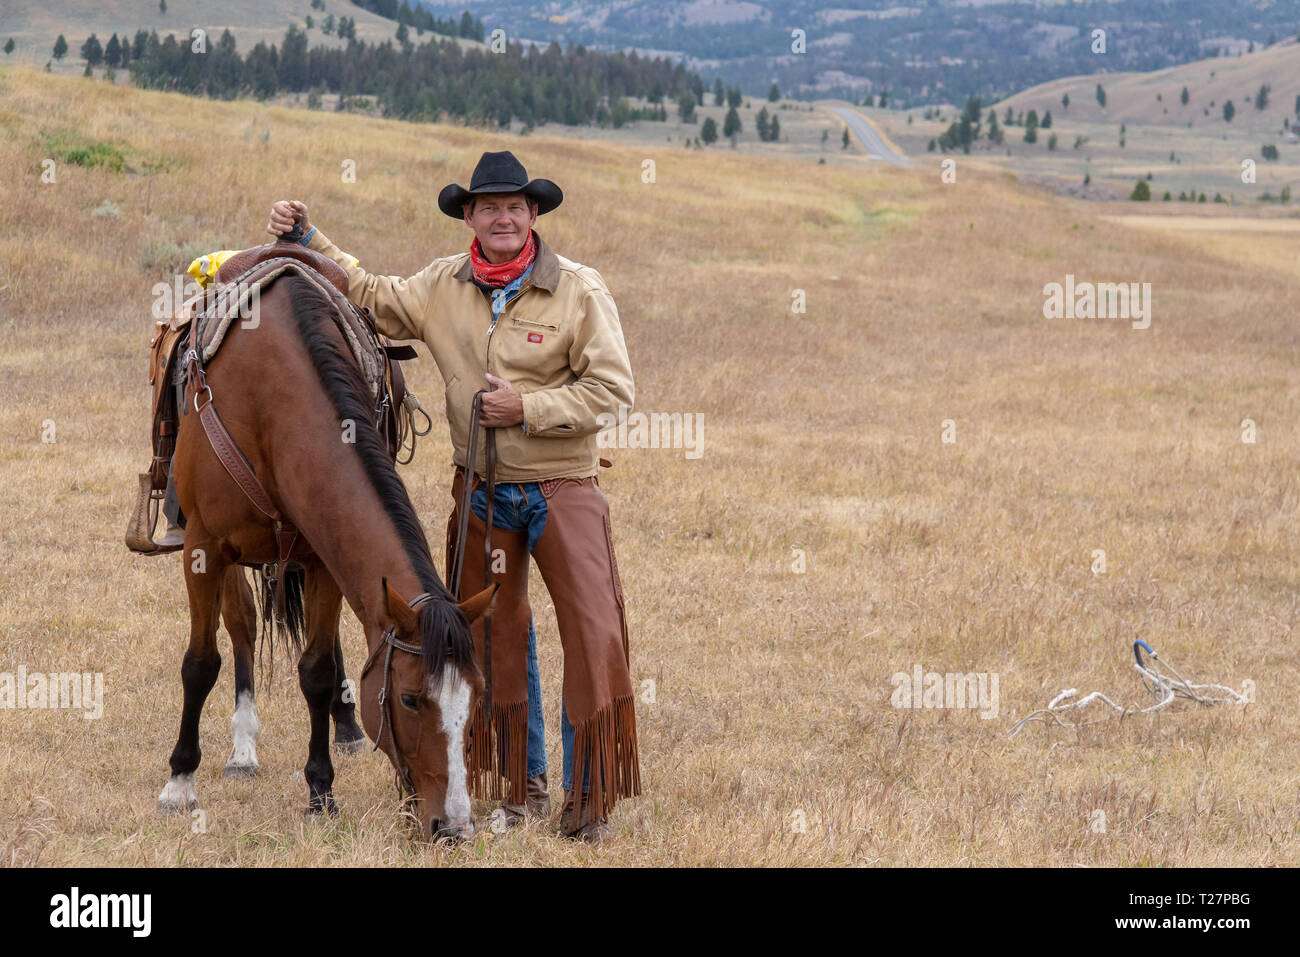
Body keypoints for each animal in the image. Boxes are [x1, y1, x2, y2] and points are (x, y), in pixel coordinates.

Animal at [157, 263, 488, 837]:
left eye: (476, 697)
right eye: (410, 698)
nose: (454, 826)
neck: (271, 398)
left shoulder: (322, 560)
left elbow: (315, 669)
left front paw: (321, 790)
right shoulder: (203, 548)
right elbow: (200, 662)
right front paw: (180, 782)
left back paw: (346, 724)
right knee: (241, 625)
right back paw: (242, 751)